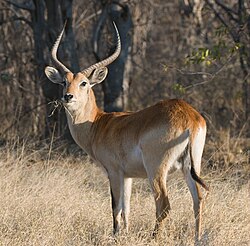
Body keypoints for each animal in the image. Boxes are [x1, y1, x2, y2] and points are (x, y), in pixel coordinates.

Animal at [44, 22, 209, 240]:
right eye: (64, 81)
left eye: (84, 82)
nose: (68, 96)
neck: (98, 123)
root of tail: (189, 117)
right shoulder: (128, 176)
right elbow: (126, 208)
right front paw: (126, 234)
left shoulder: (114, 172)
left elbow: (115, 207)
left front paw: (115, 236)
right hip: (191, 166)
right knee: (198, 199)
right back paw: (197, 239)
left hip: (156, 170)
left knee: (163, 204)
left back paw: (153, 238)